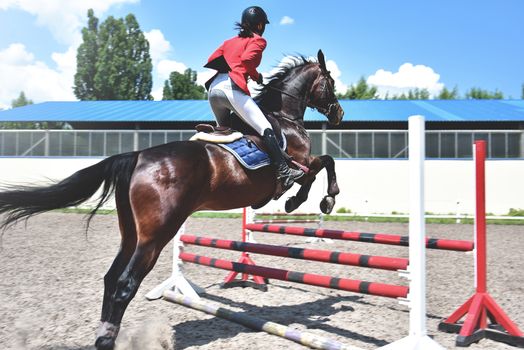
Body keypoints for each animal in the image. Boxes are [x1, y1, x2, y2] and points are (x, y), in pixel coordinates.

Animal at [0, 50, 344, 350]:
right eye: (331, 81)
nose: (339, 114)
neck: (283, 117)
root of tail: (138, 156)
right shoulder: (300, 163)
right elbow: (322, 165)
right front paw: (316, 200)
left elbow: (321, 166)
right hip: (156, 236)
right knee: (125, 284)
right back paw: (109, 340)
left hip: (132, 234)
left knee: (111, 278)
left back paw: (104, 334)